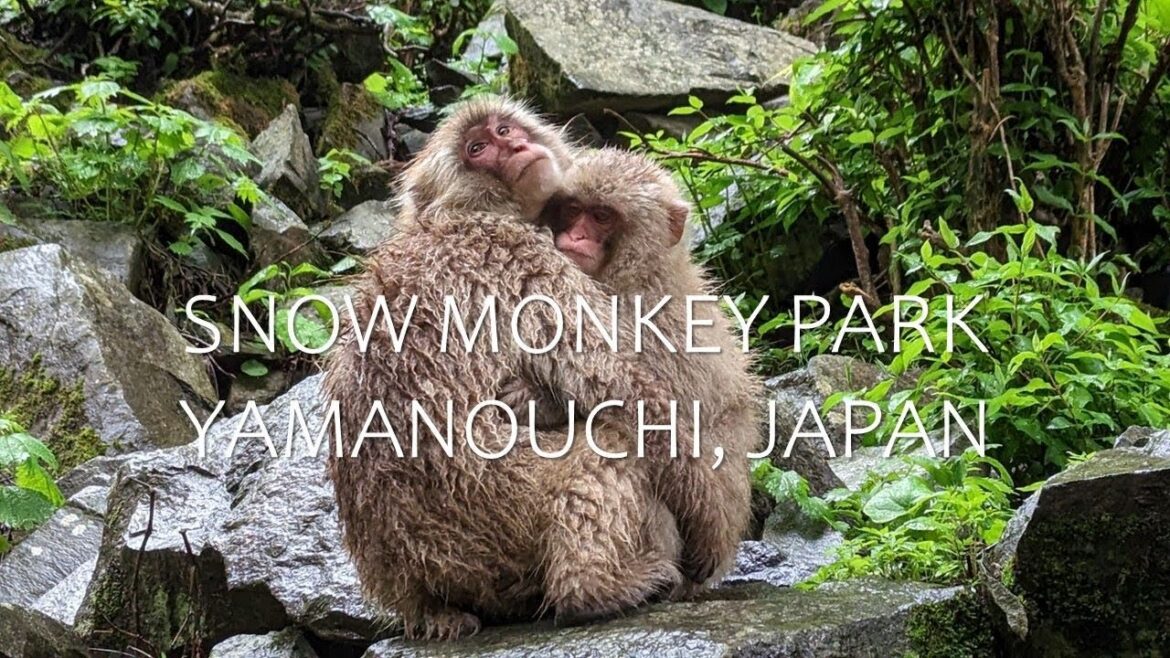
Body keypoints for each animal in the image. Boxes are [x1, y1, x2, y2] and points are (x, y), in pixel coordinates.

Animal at [323, 98, 687, 641]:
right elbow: (626, 388)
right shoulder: (523, 254)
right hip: (500, 516)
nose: (515, 145)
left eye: (503, 129)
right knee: (609, 449)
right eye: (478, 149)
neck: (474, 212)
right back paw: (600, 587)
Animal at [505, 147, 762, 589]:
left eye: (602, 216)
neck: (637, 275)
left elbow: (656, 415)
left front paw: (538, 401)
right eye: (573, 210)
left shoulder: (645, 322)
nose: (575, 237)